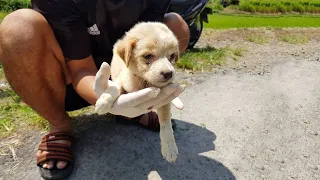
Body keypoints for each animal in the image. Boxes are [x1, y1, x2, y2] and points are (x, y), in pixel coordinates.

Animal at [94, 21, 180, 162]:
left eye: (172, 56)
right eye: (148, 56)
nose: (169, 74)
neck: (143, 81)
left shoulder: (164, 100)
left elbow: (166, 123)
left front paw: (170, 148)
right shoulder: (121, 80)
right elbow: (113, 89)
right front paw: (103, 102)